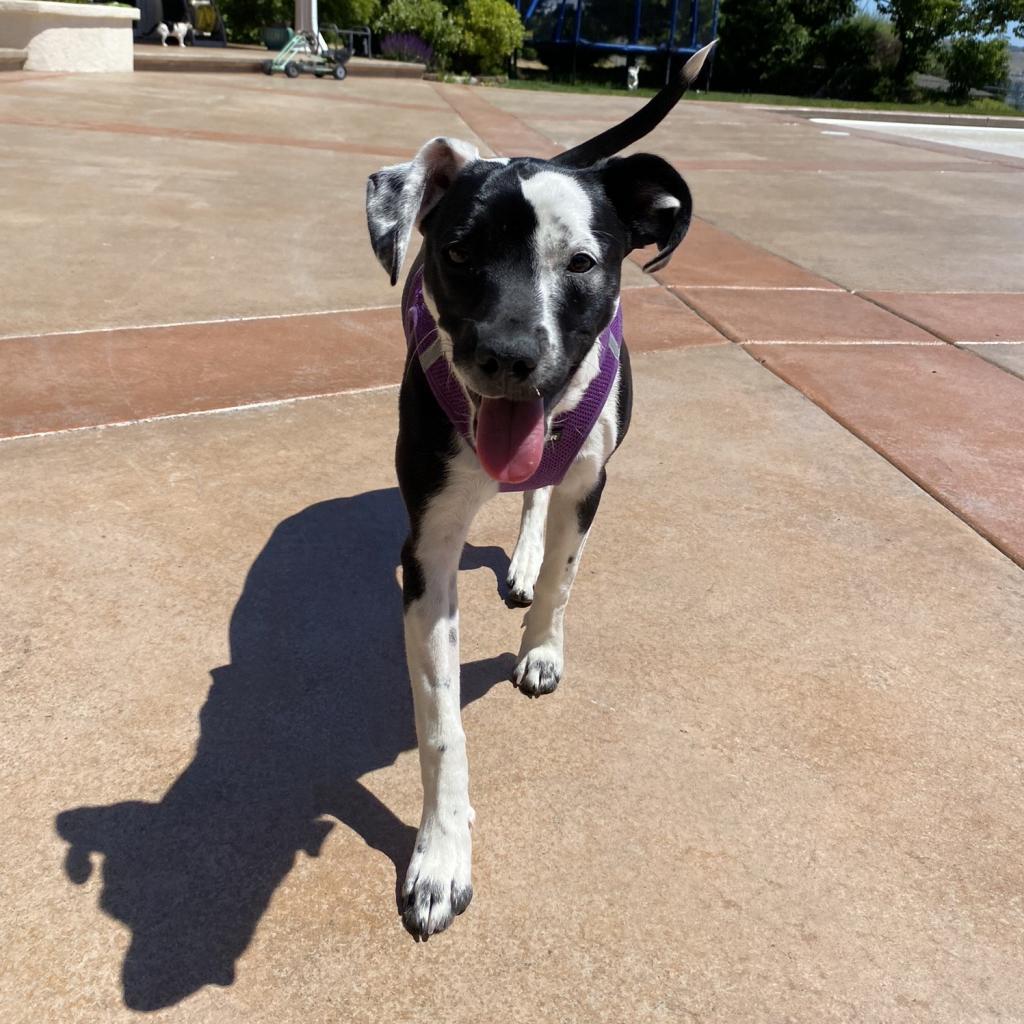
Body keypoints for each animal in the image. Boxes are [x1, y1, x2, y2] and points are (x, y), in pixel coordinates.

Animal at [368, 44, 712, 937]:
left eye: (582, 263)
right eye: (458, 253)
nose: (509, 356)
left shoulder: (591, 476)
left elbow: (566, 569)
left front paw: (542, 648)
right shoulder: (427, 552)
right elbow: (442, 725)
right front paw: (440, 857)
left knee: (540, 507)